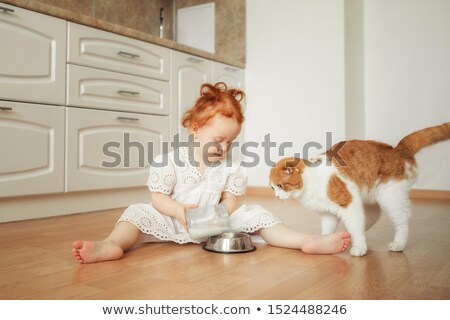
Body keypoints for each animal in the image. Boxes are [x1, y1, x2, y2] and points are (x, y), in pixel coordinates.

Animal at [270, 123, 450, 258]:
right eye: (272, 188)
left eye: (281, 186)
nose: (277, 197)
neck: (310, 181)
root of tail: (398, 149)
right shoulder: (328, 213)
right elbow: (328, 230)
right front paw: (327, 242)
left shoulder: (348, 203)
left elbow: (355, 225)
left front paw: (359, 248)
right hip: (370, 200)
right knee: (367, 219)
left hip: (390, 197)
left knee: (401, 221)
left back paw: (398, 244)